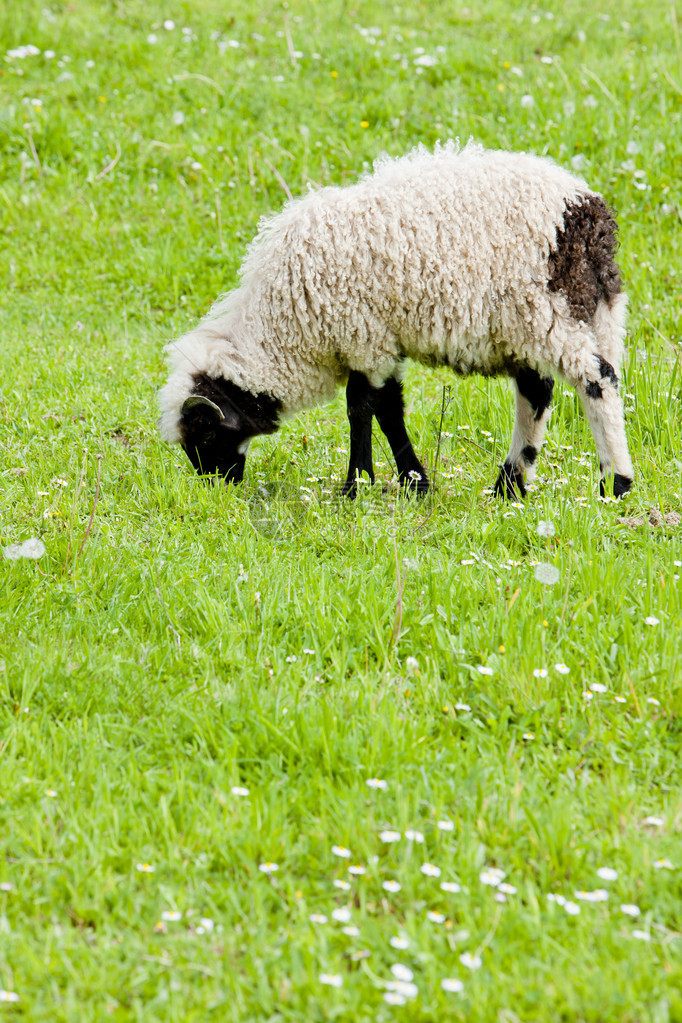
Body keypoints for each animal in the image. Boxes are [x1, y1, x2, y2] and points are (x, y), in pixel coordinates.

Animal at [161, 140, 633, 499]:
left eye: (205, 434)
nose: (216, 485)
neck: (282, 328)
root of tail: (586, 213)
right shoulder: (381, 342)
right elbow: (389, 409)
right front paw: (414, 482)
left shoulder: (362, 337)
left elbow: (361, 409)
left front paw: (356, 486)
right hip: (574, 315)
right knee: (538, 394)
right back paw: (510, 486)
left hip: (547, 311)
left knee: (598, 380)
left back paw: (615, 483)